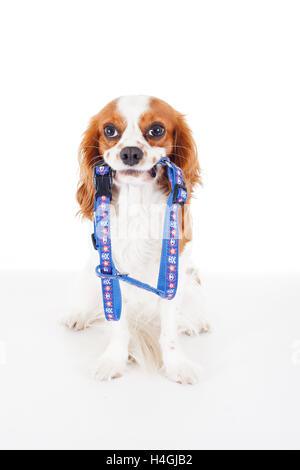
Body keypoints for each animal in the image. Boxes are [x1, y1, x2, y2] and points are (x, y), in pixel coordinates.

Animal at [63, 96, 209, 386]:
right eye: (109, 130)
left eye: (156, 130)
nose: (130, 153)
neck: (137, 202)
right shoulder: (110, 270)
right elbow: (118, 325)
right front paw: (113, 361)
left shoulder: (171, 273)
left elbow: (169, 330)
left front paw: (177, 365)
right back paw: (78, 315)